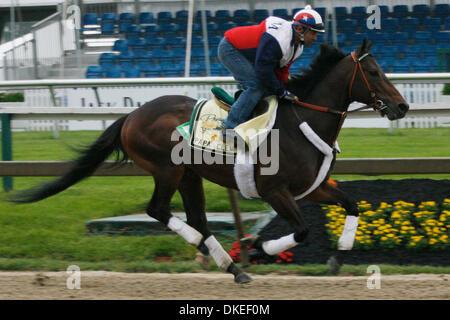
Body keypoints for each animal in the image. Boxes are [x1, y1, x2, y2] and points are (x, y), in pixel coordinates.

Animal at [8, 40, 408, 282]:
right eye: (374, 72)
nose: (402, 106)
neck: (301, 121)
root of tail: (132, 115)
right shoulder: (275, 191)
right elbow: (302, 230)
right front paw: (257, 246)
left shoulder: (314, 188)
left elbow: (352, 204)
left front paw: (338, 257)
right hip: (167, 170)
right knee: (159, 210)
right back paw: (217, 255)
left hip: (190, 175)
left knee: (198, 217)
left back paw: (231, 266)